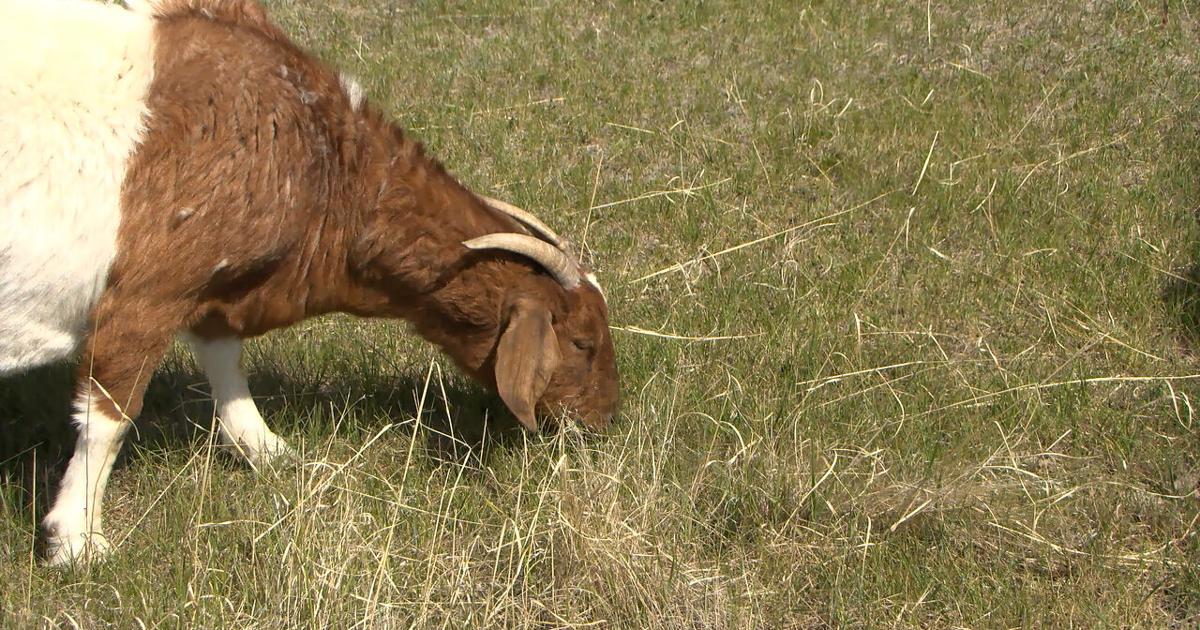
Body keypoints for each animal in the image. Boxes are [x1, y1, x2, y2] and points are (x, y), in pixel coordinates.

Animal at [0, 0, 619, 566]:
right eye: (582, 343)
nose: (606, 419)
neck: (315, 154)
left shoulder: (215, 285)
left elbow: (224, 360)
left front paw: (269, 452)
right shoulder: (148, 293)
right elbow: (110, 414)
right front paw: (76, 541)